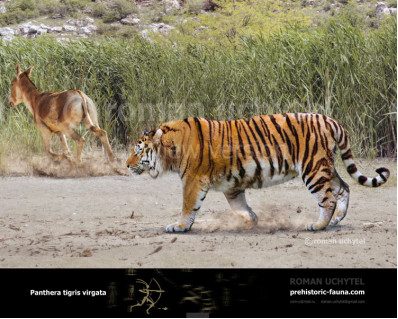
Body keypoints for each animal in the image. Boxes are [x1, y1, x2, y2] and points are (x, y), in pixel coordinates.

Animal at [126, 114, 390, 234]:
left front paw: (179, 226)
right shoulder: (231, 185)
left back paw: (318, 225)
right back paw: (335, 221)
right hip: (325, 165)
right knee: (343, 188)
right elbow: (239, 206)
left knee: (329, 198)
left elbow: (187, 206)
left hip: (313, 168)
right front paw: (251, 221)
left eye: (138, 151)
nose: (127, 165)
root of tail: (327, 118)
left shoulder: (192, 180)